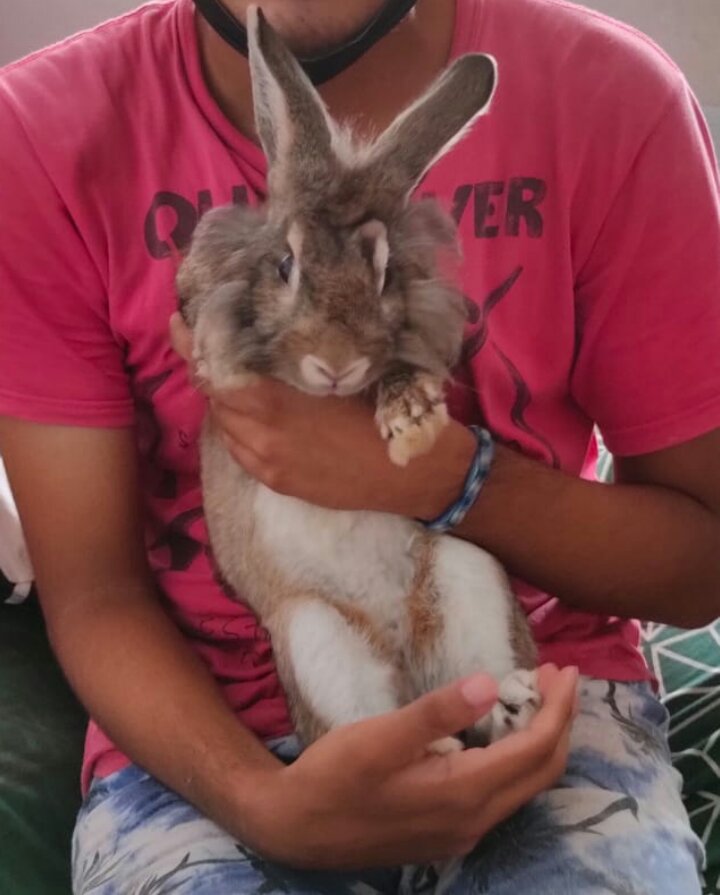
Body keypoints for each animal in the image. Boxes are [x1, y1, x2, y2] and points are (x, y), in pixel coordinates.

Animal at [177, 6, 539, 755]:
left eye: (385, 271)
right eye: (285, 264)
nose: (336, 363)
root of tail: (402, 650)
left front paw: (411, 423)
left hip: (465, 573)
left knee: (473, 698)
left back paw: (513, 705)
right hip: (314, 635)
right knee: (369, 727)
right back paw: (426, 746)